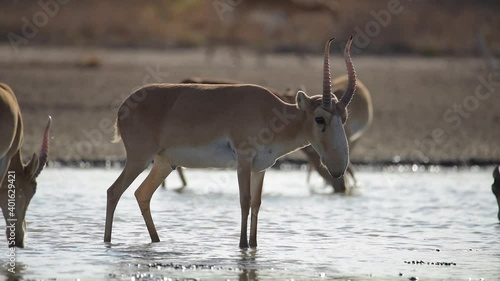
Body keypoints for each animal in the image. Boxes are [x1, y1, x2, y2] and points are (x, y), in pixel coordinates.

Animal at [104, 35, 356, 247]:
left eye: (344, 117)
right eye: (319, 118)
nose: (338, 168)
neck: (272, 114)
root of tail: (125, 106)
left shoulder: (260, 168)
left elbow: (256, 203)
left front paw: (253, 245)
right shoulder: (243, 160)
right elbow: (244, 200)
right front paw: (243, 246)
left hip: (164, 164)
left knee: (141, 194)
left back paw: (156, 241)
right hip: (139, 159)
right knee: (114, 191)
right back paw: (107, 243)